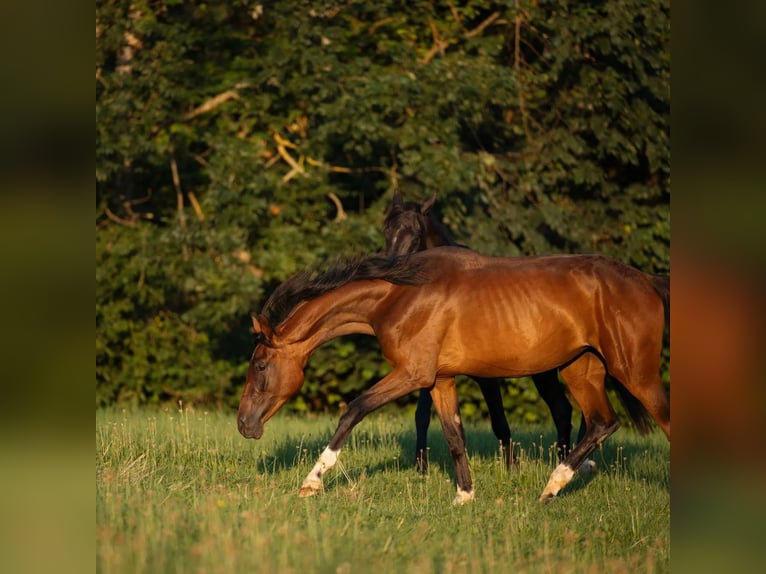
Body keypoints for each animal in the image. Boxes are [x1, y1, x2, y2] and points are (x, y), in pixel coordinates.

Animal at [238, 248, 672, 504]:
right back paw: (553, 487)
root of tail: (646, 281)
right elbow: (454, 436)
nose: (244, 425)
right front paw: (464, 496)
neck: (400, 295)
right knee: (602, 422)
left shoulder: (411, 374)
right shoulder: (439, 380)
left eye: (260, 365)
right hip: (581, 370)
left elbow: (353, 410)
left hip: (635, 373)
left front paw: (311, 482)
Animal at [384, 191, 588, 470]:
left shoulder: (486, 376)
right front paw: (421, 467)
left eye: (415, 234)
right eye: (386, 230)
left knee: (562, 410)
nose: (391, 271)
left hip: (544, 371)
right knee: (564, 409)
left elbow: (499, 421)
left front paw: (512, 468)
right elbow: (421, 416)